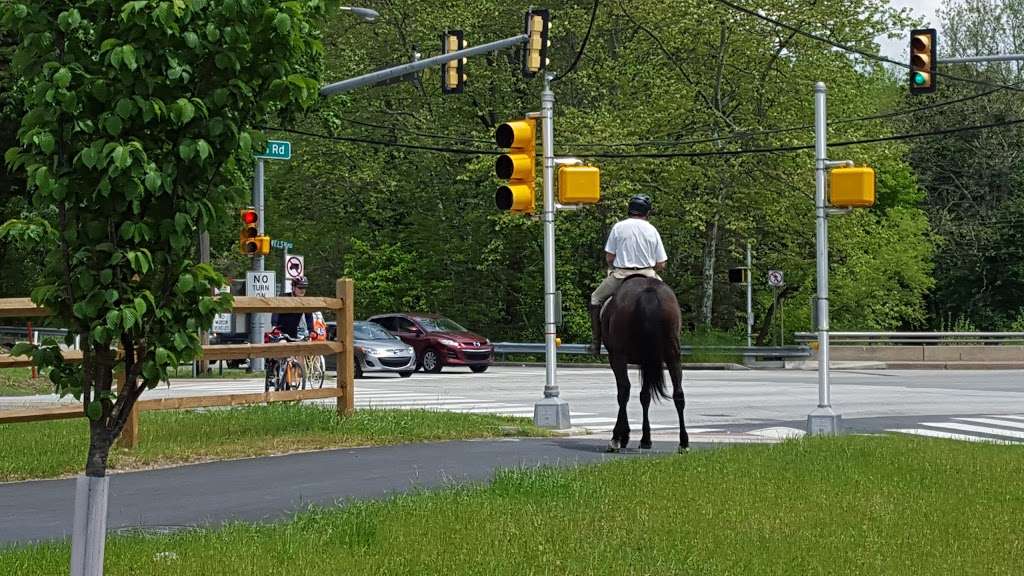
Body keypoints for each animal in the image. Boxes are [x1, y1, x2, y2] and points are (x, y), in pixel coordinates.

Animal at [598, 276, 688, 450]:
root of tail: (649, 291)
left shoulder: (618, 357)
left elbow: (625, 393)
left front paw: (624, 436)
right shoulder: (647, 362)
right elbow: (645, 396)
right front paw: (646, 439)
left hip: (618, 356)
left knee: (624, 391)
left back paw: (615, 438)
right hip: (672, 354)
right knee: (678, 393)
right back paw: (683, 442)